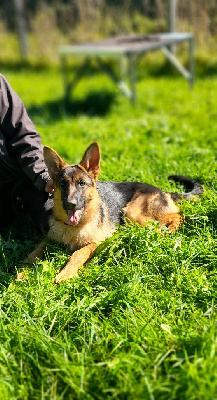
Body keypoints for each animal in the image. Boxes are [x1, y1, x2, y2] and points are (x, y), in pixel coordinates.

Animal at [22, 142, 203, 282]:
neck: (74, 228)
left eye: (81, 183)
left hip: (132, 212)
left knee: (177, 215)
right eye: (62, 184)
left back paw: (166, 229)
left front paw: (65, 273)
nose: (70, 204)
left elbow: (78, 253)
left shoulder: (96, 243)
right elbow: (33, 253)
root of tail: (162, 190)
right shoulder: (49, 240)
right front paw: (22, 272)